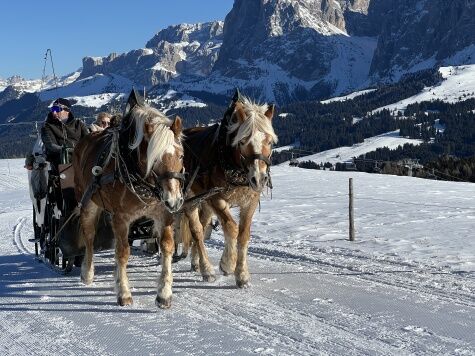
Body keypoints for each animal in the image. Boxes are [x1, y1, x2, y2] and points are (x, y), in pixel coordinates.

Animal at [73, 89, 185, 306]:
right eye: (154, 159)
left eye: (181, 155)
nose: (174, 200)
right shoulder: (121, 217)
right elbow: (123, 253)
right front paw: (124, 292)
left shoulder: (163, 213)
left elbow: (167, 246)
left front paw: (164, 293)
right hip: (88, 202)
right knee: (89, 236)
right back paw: (87, 272)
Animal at [179, 92, 278, 286]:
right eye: (243, 141)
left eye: (270, 142)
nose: (259, 179)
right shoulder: (217, 198)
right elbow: (231, 228)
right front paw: (227, 264)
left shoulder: (250, 201)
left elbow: (244, 234)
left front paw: (242, 274)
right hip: (191, 199)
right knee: (197, 231)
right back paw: (207, 269)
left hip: (204, 201)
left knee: (203, 225)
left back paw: (196, 262)